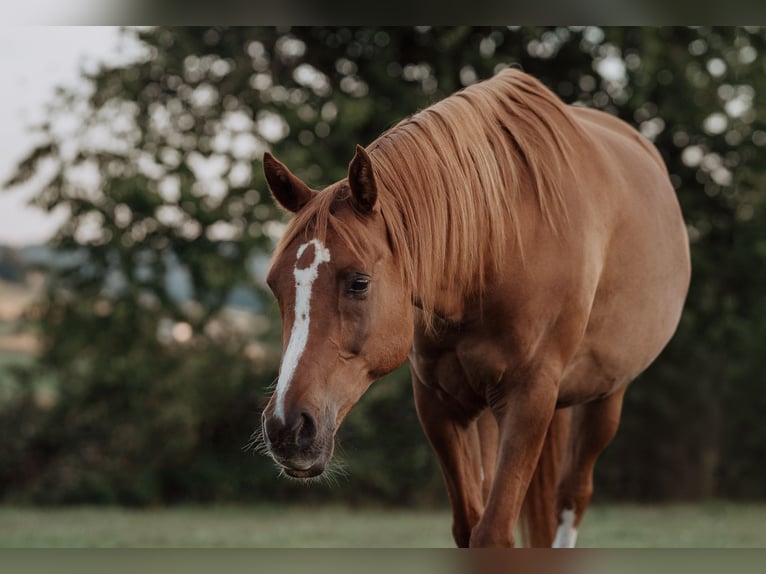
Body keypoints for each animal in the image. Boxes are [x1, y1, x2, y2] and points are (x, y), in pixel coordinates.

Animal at [260, 70, 692, 552]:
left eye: (359, 282)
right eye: (275, 286)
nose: (287, 428)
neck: (494, 249)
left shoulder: (530, 400)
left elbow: (493, 532)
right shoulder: (439, 404)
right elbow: (469, 525)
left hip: (605, 396)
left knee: (571, 497)